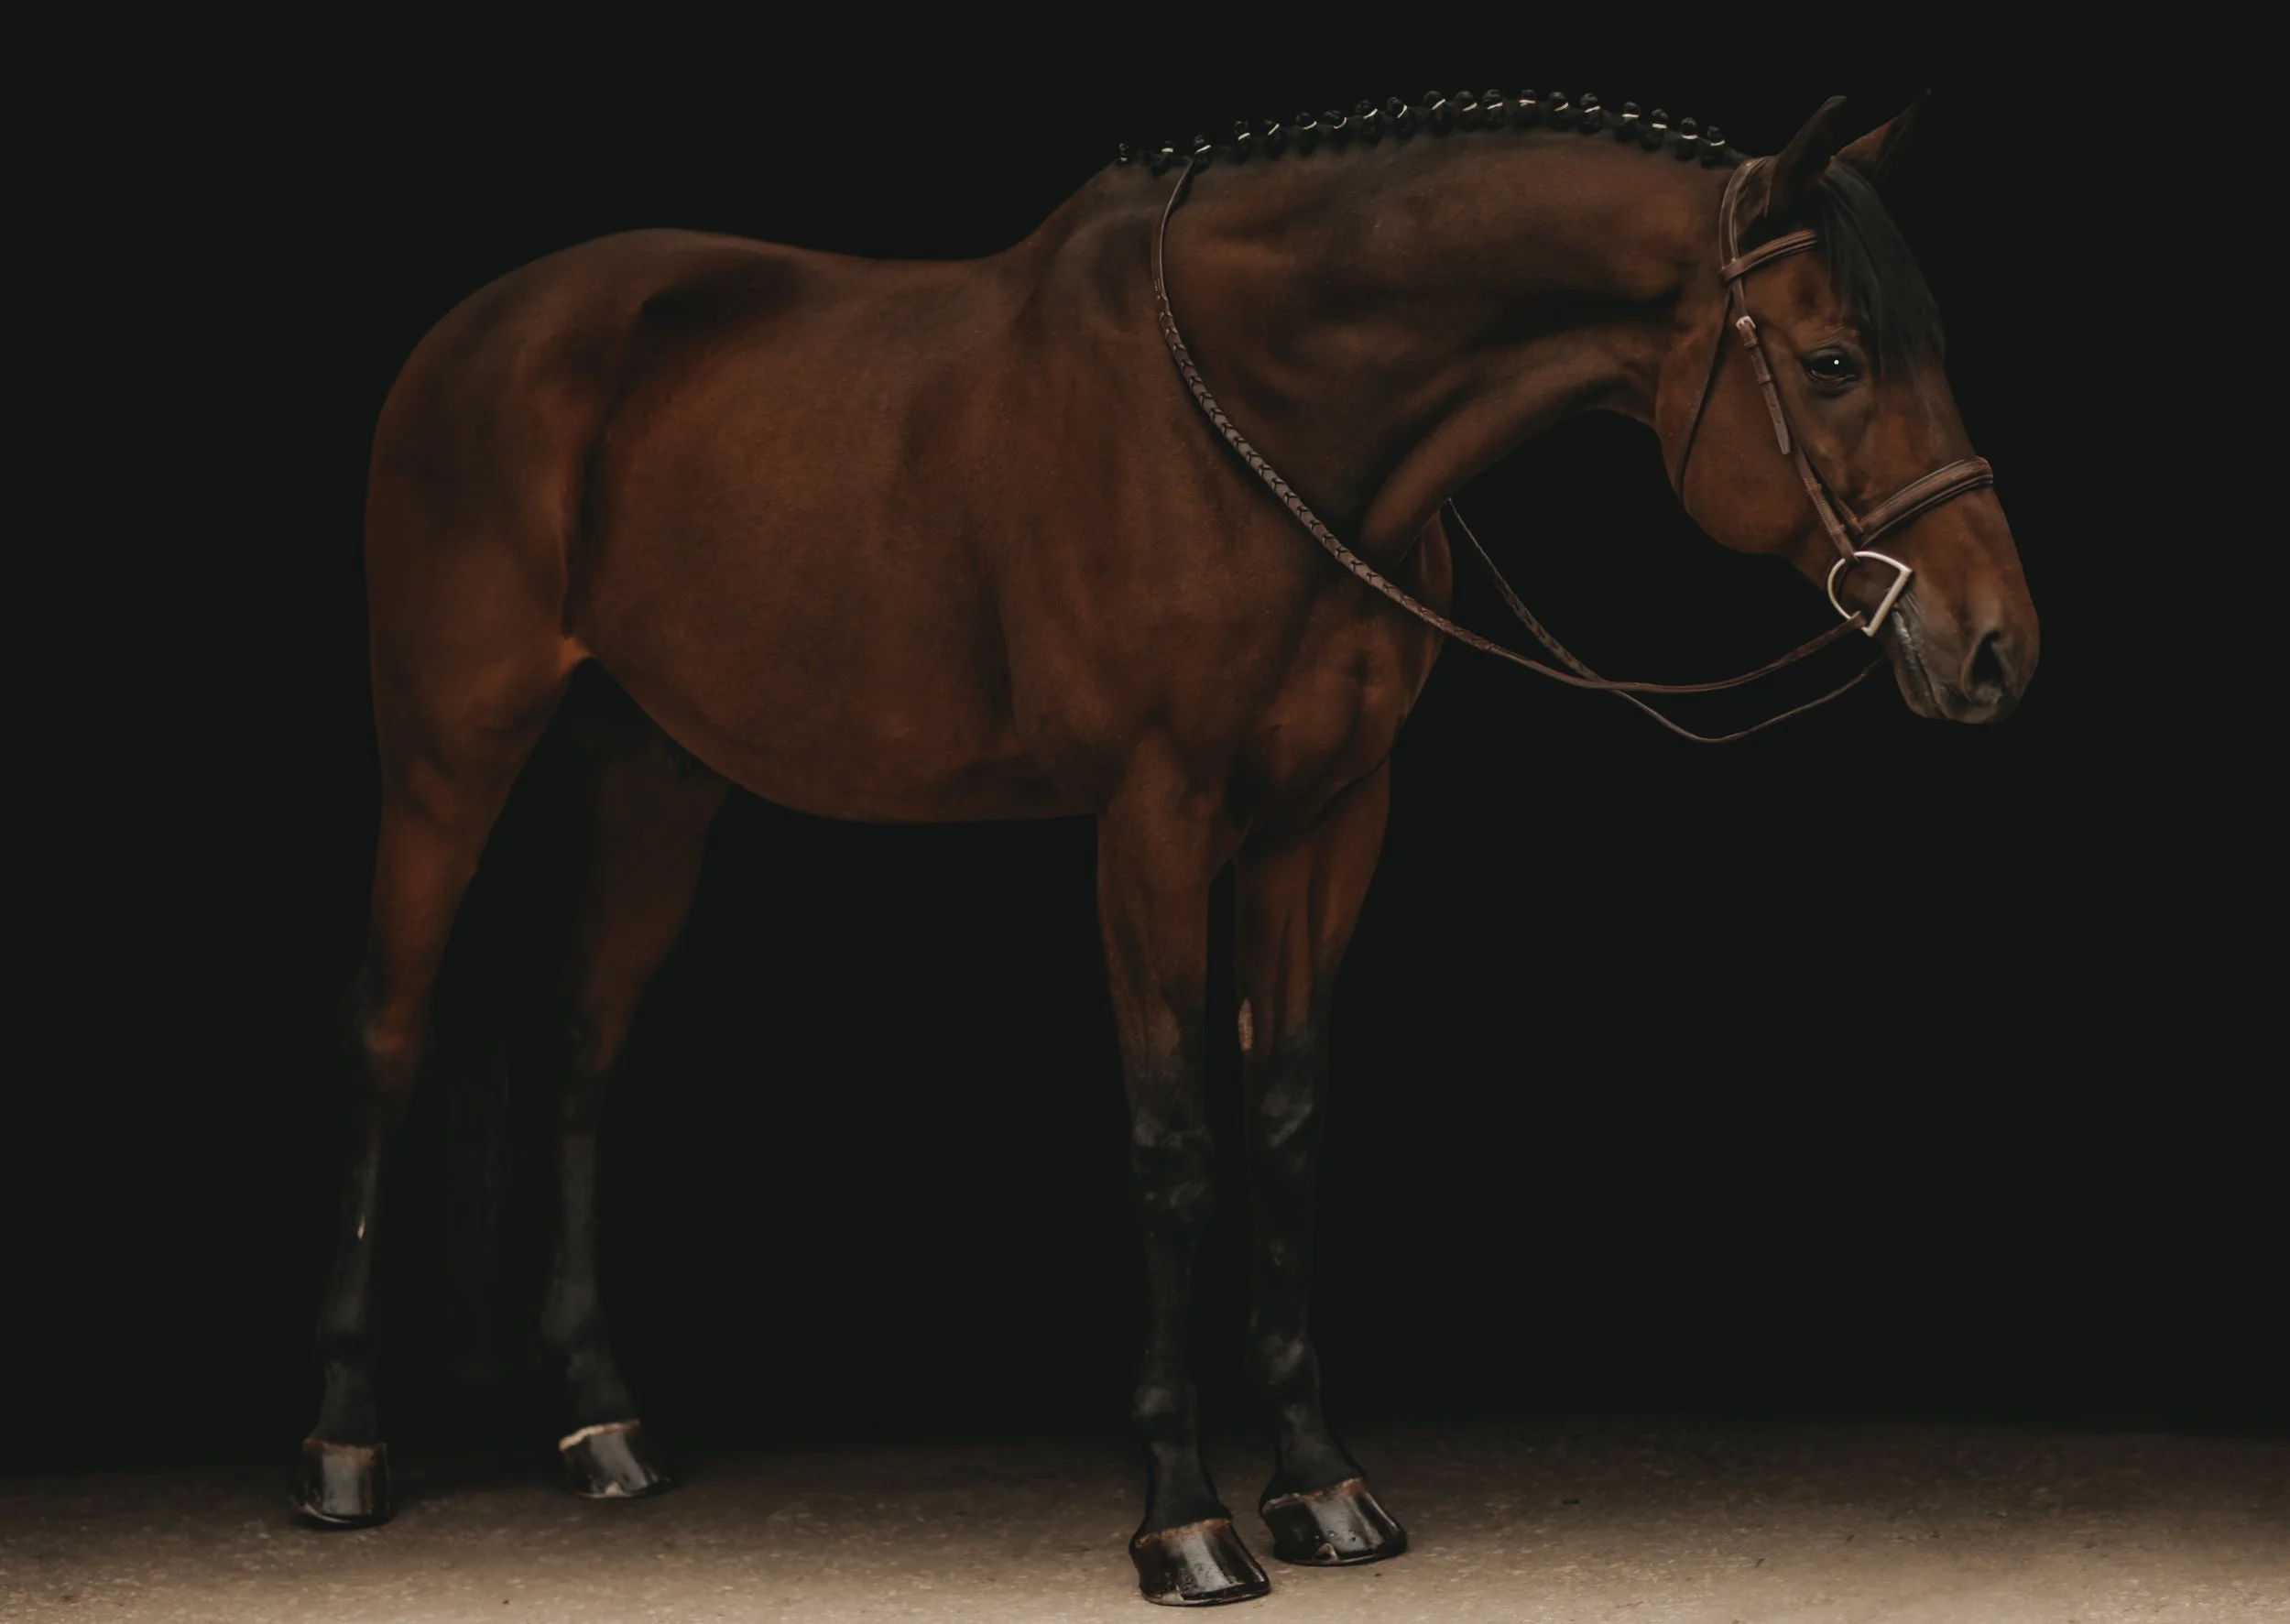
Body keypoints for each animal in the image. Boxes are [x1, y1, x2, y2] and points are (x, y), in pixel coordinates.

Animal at [297, 86, 2038, 1607]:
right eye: (1833, 358)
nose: (1996, 645)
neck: (1268, 426)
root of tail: (479, 327)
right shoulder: (1154, 817)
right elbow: (1174, 1143)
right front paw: (1186, 1519)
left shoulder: (1328, 820)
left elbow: (1286, 1120)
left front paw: (1324, 1485)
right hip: (452, 752)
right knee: (383, 1039)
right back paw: (343, 1449)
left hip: (658, 773)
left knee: (583, 1046)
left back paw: (604, 1426)